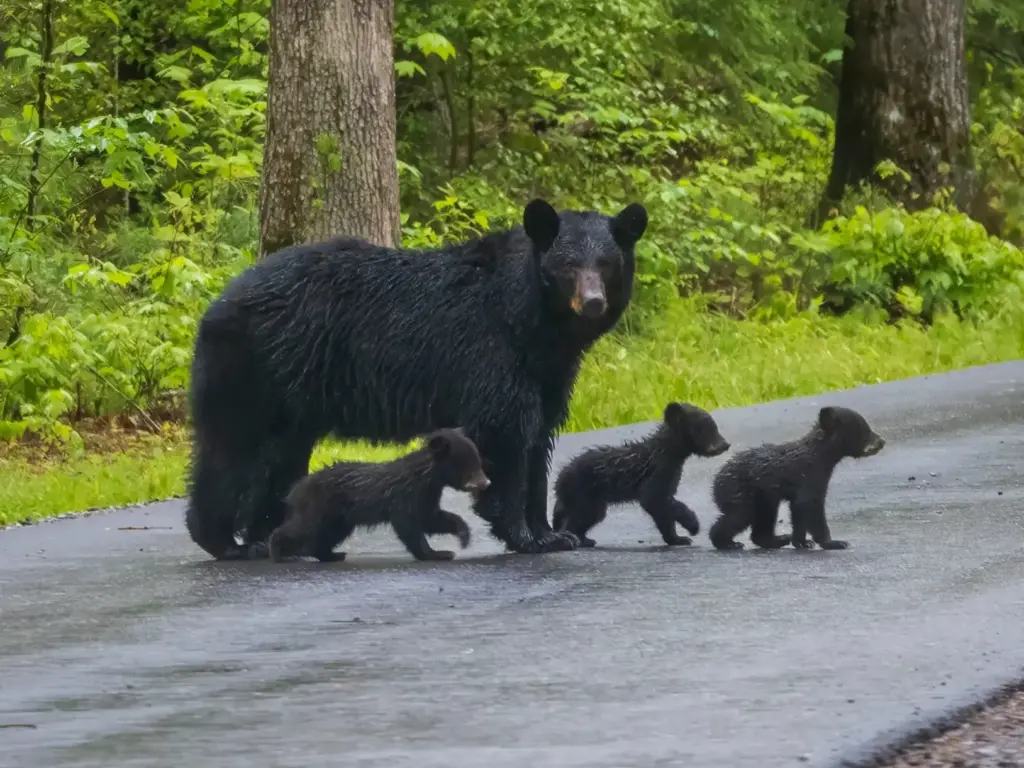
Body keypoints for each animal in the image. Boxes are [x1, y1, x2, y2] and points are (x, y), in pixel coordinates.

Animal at [267, 428, 489, 563]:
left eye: (478, 462)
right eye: (470, 468)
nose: (486, 483)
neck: (425, 477)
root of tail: (296, 489)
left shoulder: (427, 495)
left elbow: (432, 519)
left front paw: (463, 535)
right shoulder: (405, 495)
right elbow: (409, 525)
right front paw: (437, 553)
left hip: (339, 517)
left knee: (328, 535)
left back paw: (332, 554)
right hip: (319, 506)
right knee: (301, 527)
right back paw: (279, 552)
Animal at [551, 402, 731, 548]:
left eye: (714, 427)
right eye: (706, 428)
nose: (726, 445)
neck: (668, 453)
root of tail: (559, 480)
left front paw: (677, 538)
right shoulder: (658, 472)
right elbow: (654, 500)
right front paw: (690, 528)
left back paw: (584, 538)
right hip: (583, 492)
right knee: (581, 516)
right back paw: (573, 538)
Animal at [708, 405, 885, 551]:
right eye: (864, 429)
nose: (882, 441)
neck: (820, 456)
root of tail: (716, 481)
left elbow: (798, 510)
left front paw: (802, 542)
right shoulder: (810, 475)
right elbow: (810, 505)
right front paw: (834, 542)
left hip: (763, 497)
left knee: (764, 517)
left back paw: (777, 540)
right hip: (740, 492)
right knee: (739, 516)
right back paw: (727, 543)